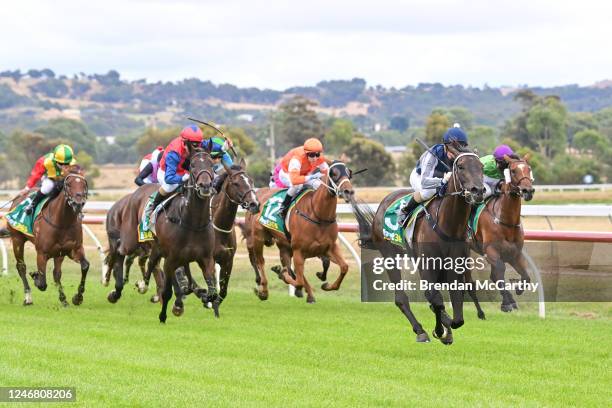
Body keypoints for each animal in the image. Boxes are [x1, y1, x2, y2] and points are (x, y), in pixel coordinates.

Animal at [8, 167, 90, 306]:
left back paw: (63, 299)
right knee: (21, 267)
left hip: (58, 254)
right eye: (68, 184)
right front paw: (35, 276)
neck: (63, 223)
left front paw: (77, 298)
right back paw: (28, 298)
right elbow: (42, 283)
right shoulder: (42, 253)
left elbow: (84, 266)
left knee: (56, 273)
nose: (78, 203)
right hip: (17, 240)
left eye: (84, 184)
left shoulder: (73, 249)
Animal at [245, 159, 354, 302]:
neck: (317, 215)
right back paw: (264, 291)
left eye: (348, 172)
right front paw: (282, 274)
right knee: (260, 261)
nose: (348, 191)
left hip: (284, 245)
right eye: (333, 173)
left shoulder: (329, 248)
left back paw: (308, 294)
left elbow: (344, 267)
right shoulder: (299, 251)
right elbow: (298, 280)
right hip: (259, 237)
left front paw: (326, 285)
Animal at [354, 143, 482, 344]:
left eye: (482, 167)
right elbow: (436, 299)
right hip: (389, 255)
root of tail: (383, 203)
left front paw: (448, 326)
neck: (448, 224)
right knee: (401, 298)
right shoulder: (428, 263)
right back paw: (420, 330)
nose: (479, 191)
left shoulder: (455, 262)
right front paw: (441, 329)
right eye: (461, 167)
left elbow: (456, 309)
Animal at [470, 155, 532, 310]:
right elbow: (499, 272)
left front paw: (517, 290)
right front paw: (507, 302)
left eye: (529, 169)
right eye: (514, 171)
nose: (528, 191)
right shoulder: (491, 251)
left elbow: (526, 277)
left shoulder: (515, 253)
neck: (506, 221)